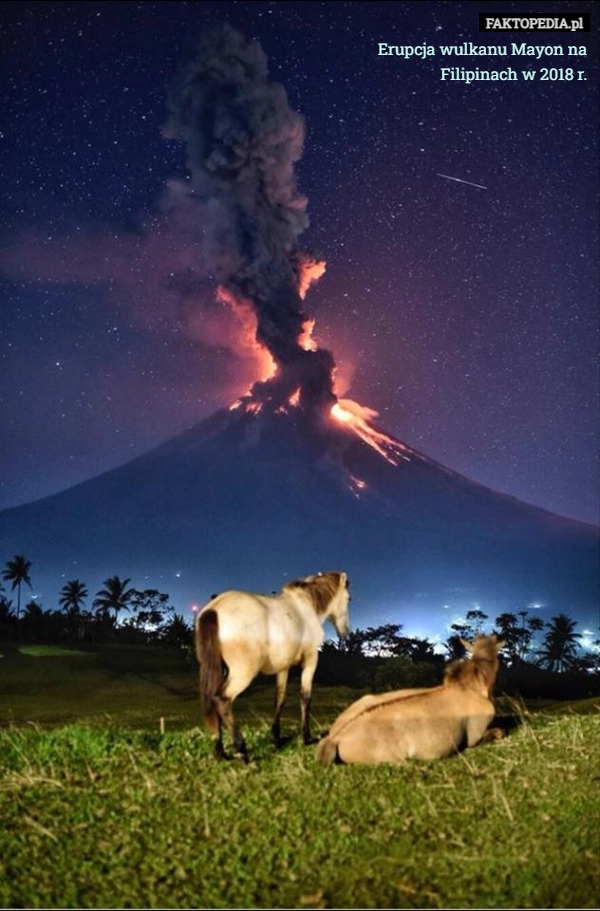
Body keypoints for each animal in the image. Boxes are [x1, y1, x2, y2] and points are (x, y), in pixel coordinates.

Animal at [195, 568, 350, 764]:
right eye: (348, 598)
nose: (345, 632)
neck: (305, 606)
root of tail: (214, 608)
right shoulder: (311, 660)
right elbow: (305, 697)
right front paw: (306, 737)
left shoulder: (283, 667)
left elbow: (280, 699)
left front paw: (276, 737)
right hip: (243, 673)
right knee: (221, 700)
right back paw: (241, 750)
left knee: (212, 702)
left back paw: (220, 752)